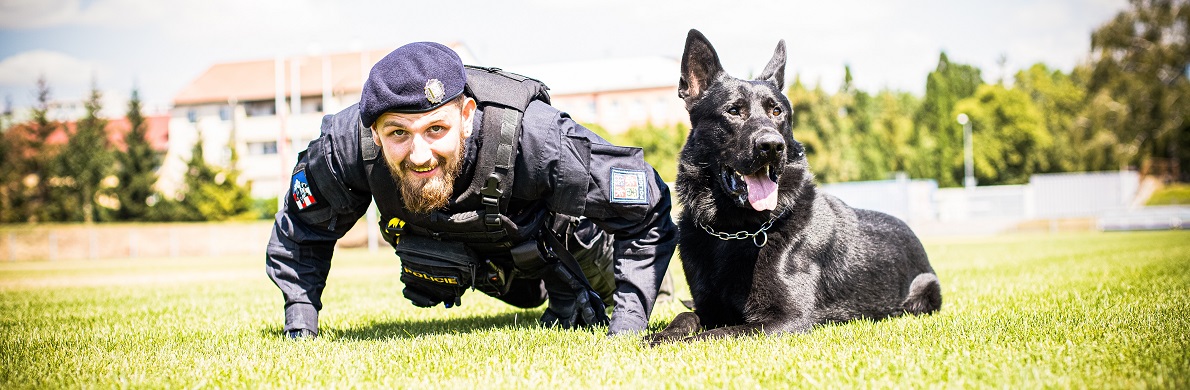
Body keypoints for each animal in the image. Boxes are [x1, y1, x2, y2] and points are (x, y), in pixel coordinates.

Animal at [647, 31, 942, 344]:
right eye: (734, 111)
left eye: (777, 111)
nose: (772, 145)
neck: (734, 231)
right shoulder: (710, 308)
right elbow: (685, 316)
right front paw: (663, 335)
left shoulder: (785, 319)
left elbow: (717, 334)